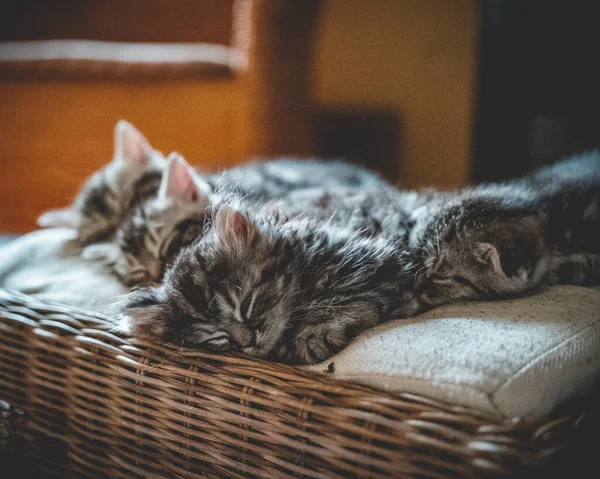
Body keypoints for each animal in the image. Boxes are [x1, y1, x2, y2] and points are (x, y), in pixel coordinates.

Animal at [116, 199, 418, 364]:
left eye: (246, 303)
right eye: (216, 336)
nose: (248, 341)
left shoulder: (378, 262)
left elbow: (344, 295)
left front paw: (313, 335)